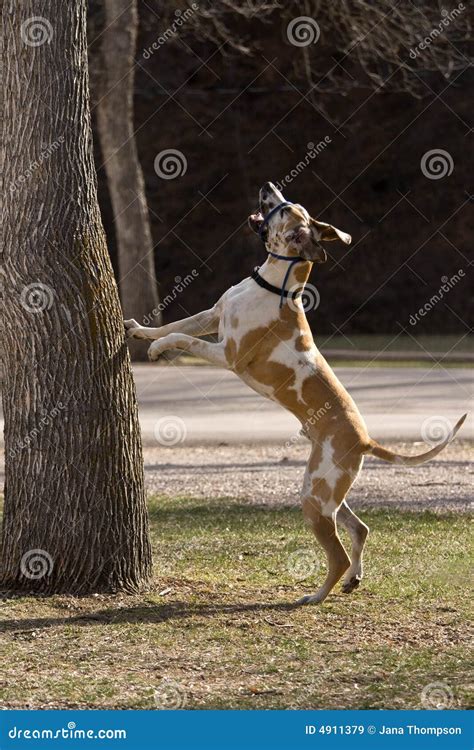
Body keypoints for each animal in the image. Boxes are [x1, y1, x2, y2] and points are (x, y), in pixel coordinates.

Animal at [123, 182, 466, 604]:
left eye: (287, 209)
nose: (268, 187)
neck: (274, 284)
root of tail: (365, 439)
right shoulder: (212, 315)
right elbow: (174, 324)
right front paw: (140, 331)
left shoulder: (227, 352)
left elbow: (182, 338)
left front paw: (158, 349)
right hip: (326, 493)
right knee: (360, 528)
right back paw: (353, 578)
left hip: (314, 498)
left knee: (336, 554)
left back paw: (317, 595)